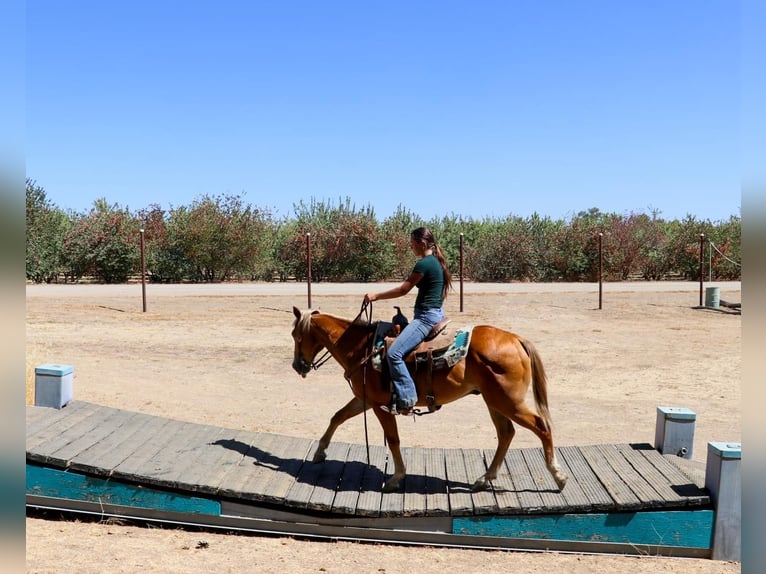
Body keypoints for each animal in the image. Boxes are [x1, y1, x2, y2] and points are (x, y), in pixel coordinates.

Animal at [292, 306, 568, 496]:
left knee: (541, 427)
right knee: (506, 433)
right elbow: (337, 416)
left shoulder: (381, 406)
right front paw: (320, 452)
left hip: (509, 402)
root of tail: (516, 340)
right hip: (495, 402)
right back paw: (484, 478)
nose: (297, 366)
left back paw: (558, 476)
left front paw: (396, 477)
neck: (363, 348)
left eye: (296, 335)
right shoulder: (365, 399)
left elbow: (393, 439)